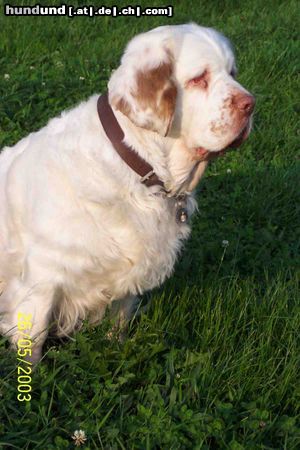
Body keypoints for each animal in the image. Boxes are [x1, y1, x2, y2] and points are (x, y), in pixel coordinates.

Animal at [0, 23, 254, 362]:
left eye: (232, 72)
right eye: (199, 78)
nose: (250, 104)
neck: (138, 168)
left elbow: (120, 318)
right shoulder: (41, 278)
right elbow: (33, 340)